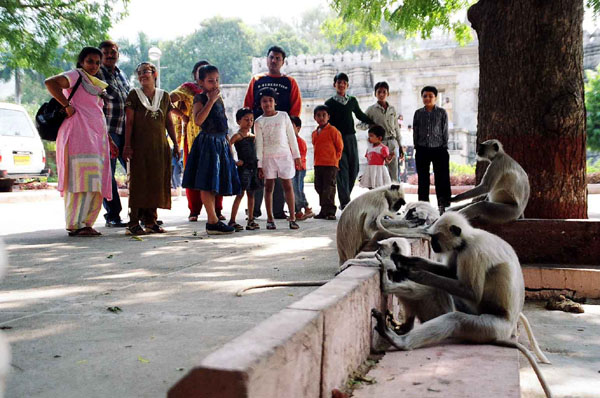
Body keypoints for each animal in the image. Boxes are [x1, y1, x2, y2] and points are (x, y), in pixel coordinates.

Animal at [370, 213, 552, 398]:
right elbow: (450, 273)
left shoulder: (472, 253)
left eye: (435, 238)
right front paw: (405, 260)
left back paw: (398, 339)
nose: (433, 244)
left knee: (454, 318)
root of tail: (509, 328)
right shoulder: (459, 251)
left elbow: (471, 292)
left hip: (491, 327)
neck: (467, 239)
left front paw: (414, 273)